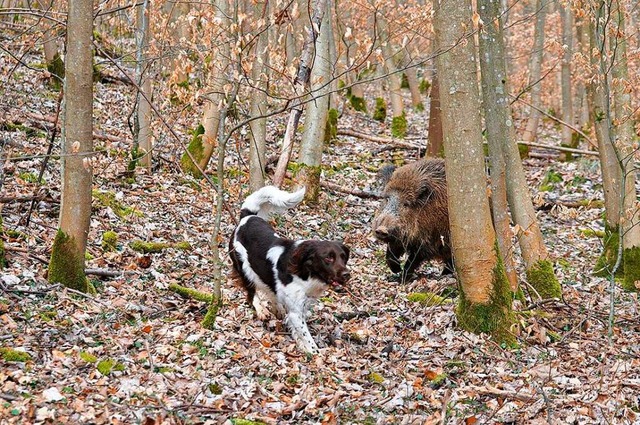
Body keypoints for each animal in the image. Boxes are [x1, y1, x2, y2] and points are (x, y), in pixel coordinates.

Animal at [229, 185, 352, 352]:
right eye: (328, 258)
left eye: (343, 257)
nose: (347, 274)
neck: (307, 274)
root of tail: (247, 217)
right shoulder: (296, 312)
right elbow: (309, 340)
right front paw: (315, 353)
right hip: (243, 267)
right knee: (252, 293)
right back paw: (262, 310)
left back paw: (278, 309)